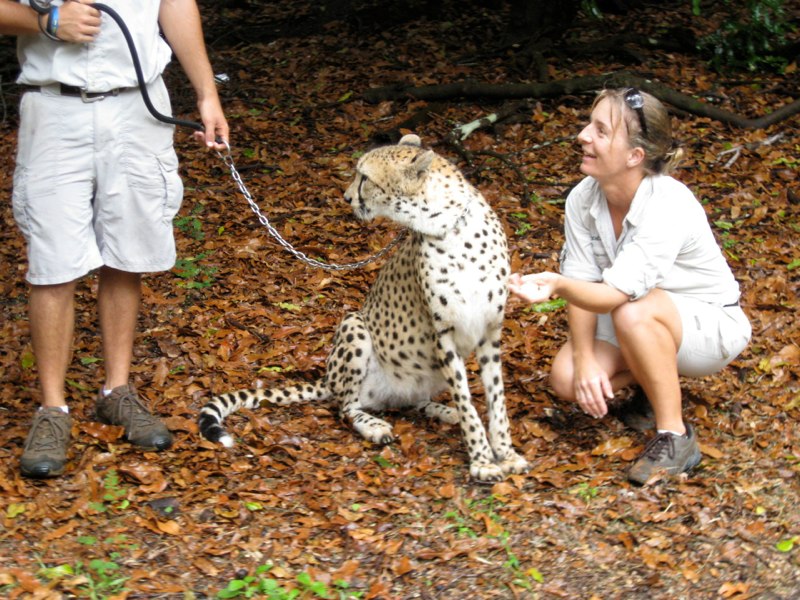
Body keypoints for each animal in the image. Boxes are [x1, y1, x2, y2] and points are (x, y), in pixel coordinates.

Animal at [198, 134, 529, 482]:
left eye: (365, 178)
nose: (345, 198)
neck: (449, 226)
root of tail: (328, 379)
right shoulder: (444, 334)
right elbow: (468, 404)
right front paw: (482, 460)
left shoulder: (490, 329)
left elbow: (496, 400)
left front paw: (505, 454)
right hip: (354, 324)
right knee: (346, 407)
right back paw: (374, 426)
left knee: (414, 402)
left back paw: (441, 410)